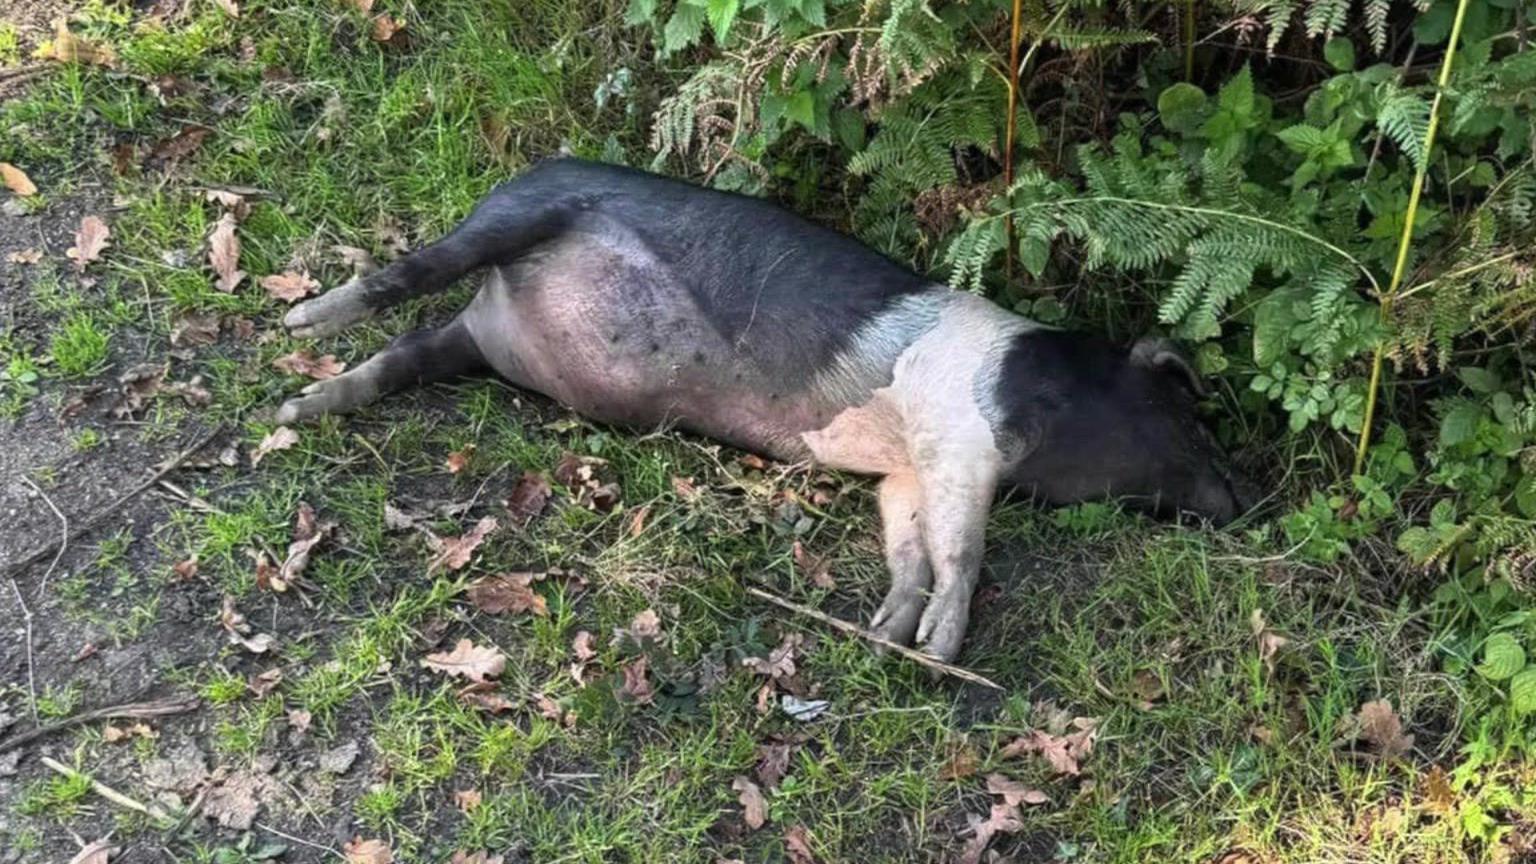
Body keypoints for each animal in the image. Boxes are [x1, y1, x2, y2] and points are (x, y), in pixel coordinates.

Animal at [282, 159, 1253, 657]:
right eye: (1191, 419)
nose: (1245, 501)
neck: (1034, 391)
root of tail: (492, 312)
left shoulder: (904, 469)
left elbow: (909, 541)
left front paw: (886, 632)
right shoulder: (959, 438)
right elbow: (963, 545)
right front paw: (940, 649)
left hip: (475, 342)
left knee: (411, 351)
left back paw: (301, 407)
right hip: (522, 209)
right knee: (406, 274)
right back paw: (297, 328)